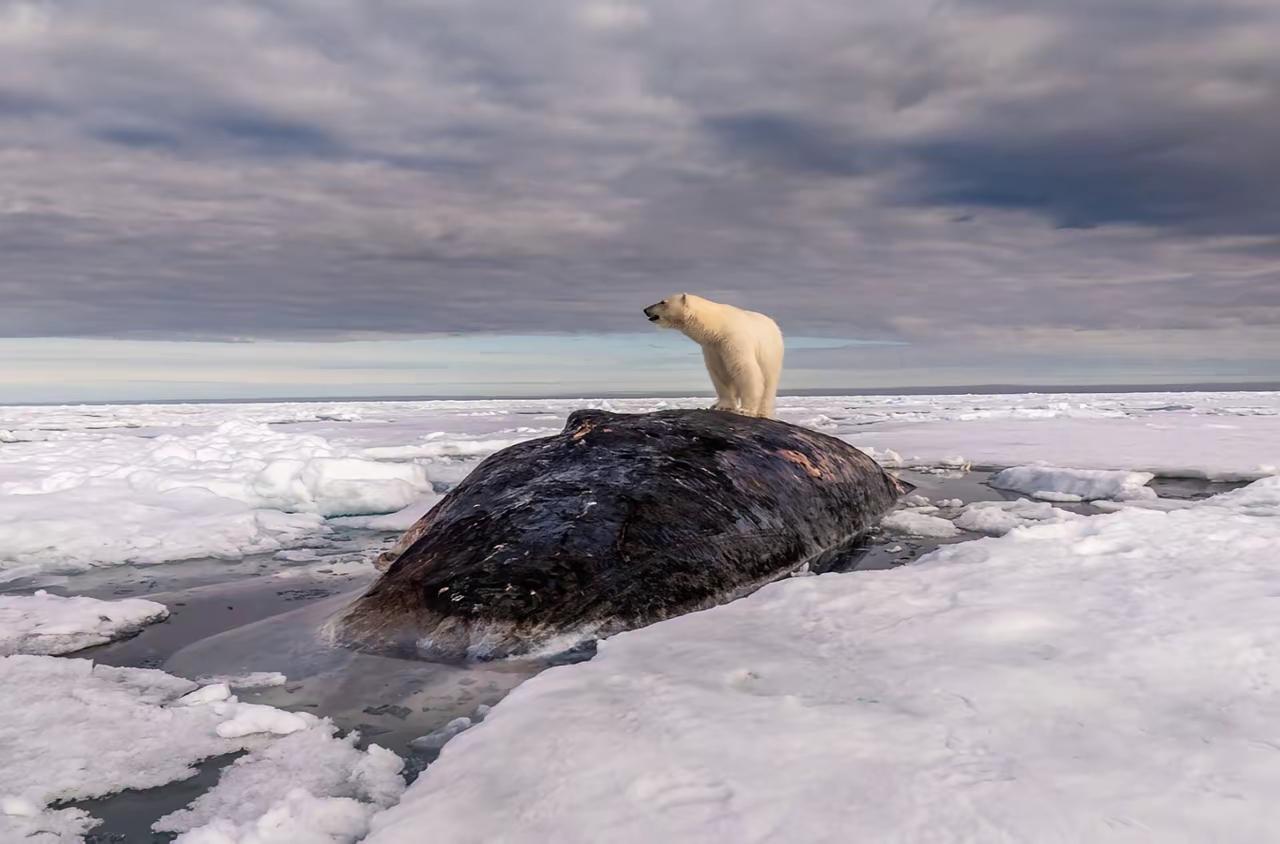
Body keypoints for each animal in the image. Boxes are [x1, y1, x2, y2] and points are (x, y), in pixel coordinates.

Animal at [643, 293, 785, 418]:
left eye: (663, 301)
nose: (645, 310)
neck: (718, 326)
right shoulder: (713, 348)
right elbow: (719, 372)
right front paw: (723, 406)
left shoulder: (735, 340)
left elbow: (745, 369)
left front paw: (745, 410)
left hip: (771, 353)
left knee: (769, 382)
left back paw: (763, 413)